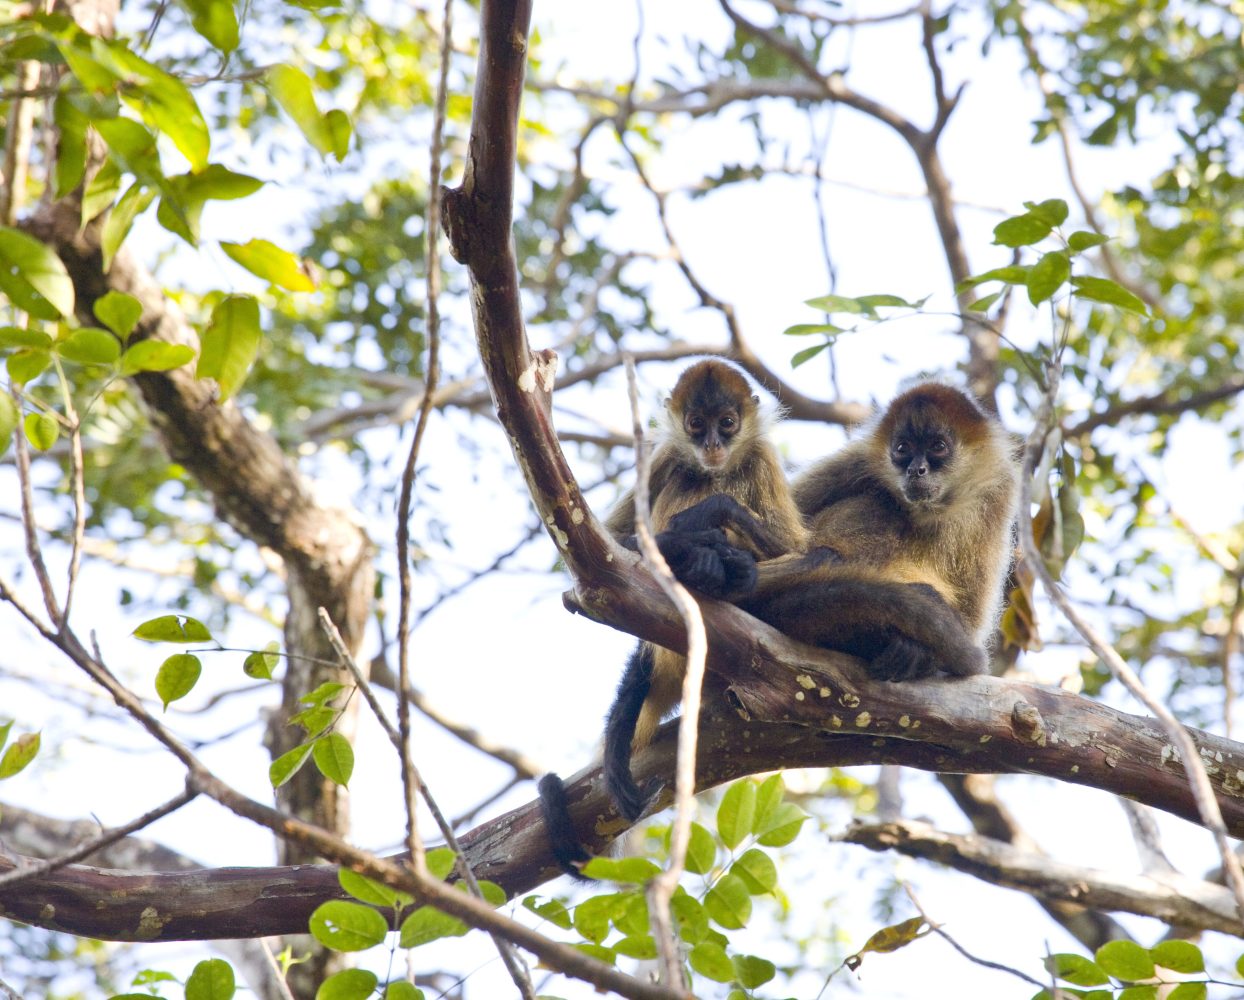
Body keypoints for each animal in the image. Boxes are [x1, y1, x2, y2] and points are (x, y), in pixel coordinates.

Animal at [538, 358, 808, 875]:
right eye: (696, 425)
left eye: (728, 423)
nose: (713, 446)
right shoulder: (665, 456)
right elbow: (606, 547)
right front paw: (694, 544)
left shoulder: (761, 457)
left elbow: (807, 553)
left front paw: (715, 533)